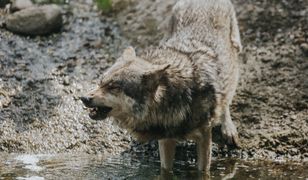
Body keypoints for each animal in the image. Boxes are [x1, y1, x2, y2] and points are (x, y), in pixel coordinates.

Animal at [80, 0, 242, 175]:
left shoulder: (204, 136)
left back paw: (228, 129)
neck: (180, 94)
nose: (84, 98)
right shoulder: (166, 138)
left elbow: (203, 170)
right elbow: (165, 170)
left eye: (113, 87)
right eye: (100, 82)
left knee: (227, 96)